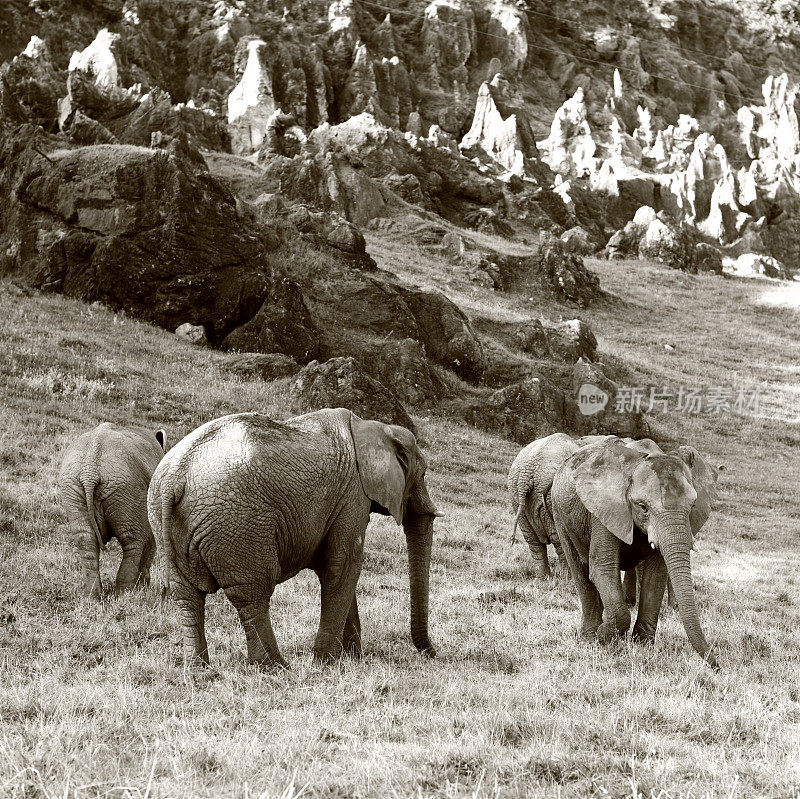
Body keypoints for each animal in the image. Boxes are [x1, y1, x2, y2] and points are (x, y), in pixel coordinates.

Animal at [58, 424, 168, 600]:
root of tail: (90, 470)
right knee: (133, 541)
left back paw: (93, 597)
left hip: (73, 486)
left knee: (85, 539)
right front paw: (144, 587)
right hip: (125, 486)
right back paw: (126, 594)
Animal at [147, 406, 440, 668]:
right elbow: (343, 566)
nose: (433, 653)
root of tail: (173, 478)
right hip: (237, 524)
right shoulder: (352, 495)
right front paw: (326, 664)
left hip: (166, 522)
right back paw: (274, 666)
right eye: (424, 473)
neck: (372, 427)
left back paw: (200, 670)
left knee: (187, 596)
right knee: (254, 593)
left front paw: (351, 659)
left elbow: (335, 567)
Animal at [552, 438, 720, 668]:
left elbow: (656, 575)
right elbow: (603, 567)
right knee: (580, 572)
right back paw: (589, 637)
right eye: (642, 507)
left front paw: (642, 646)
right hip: (560, 514)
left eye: (693, 505)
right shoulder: (606, 509)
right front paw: (604, 637)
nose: (717, 665)